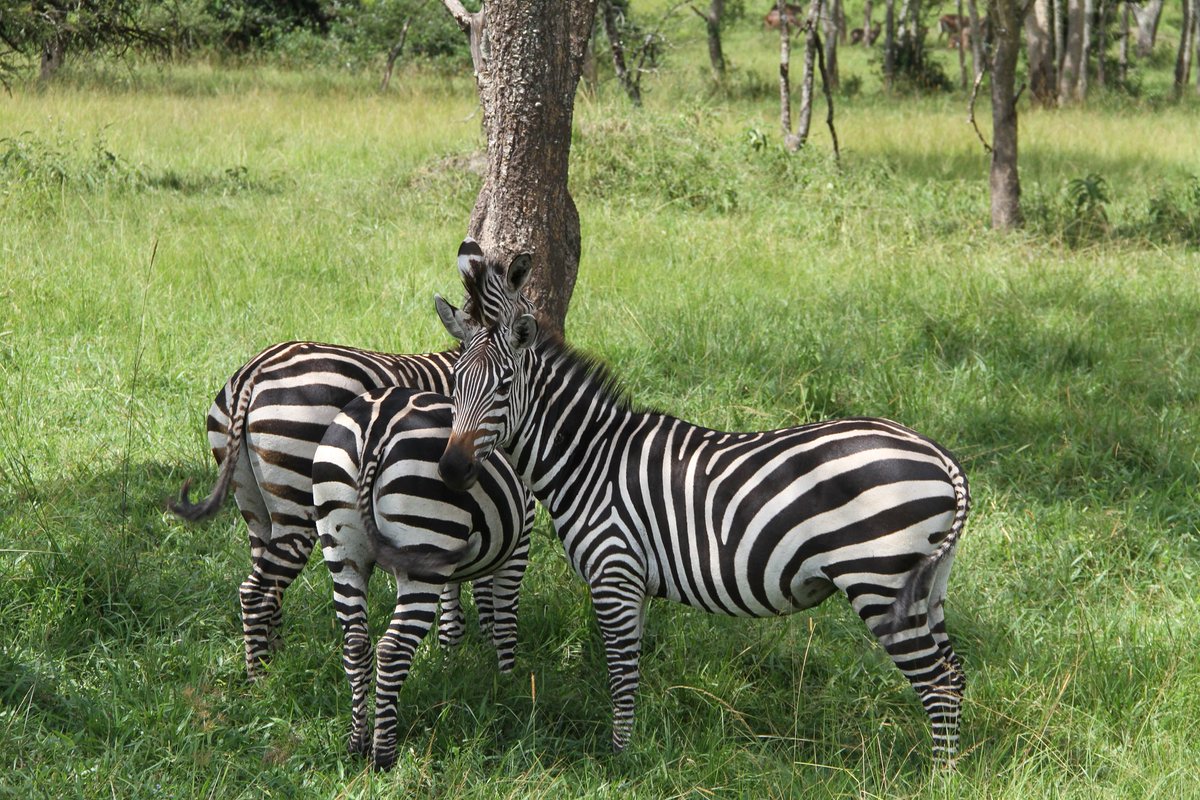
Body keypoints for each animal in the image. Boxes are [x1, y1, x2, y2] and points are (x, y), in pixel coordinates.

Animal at [170, 238, 535, 680]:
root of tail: (254, 372)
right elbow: (487, 588)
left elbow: (456, 587)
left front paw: (453, 655)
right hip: (298, 502)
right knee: (257, 591)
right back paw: (261, 680)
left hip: (252, 500)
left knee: (264, 580)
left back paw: (277, 660)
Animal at [314, 386, 534, 771]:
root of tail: (377, 426)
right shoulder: (518, 543)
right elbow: (505, 621)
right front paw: (508, 685)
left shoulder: (451, 562)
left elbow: (453, 621)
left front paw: (449, 672)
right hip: (424, 542)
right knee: (392, 649)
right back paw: (383, 754)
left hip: (344, 551)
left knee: (356, 643)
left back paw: (357, 744)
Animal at [431, 259, 971, 765]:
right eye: (455, 383)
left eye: (504, 386)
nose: (453, 469)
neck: (591, 457)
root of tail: (937, 453)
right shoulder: (635, 581)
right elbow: (632, 668)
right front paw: (632, 749)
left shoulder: (614, 571)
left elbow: (620, 671)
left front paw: (617, 759)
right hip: (928, 584)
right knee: (955, 673)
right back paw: (953, 765)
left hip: (880, 580)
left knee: (937, 682)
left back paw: (938, 776)